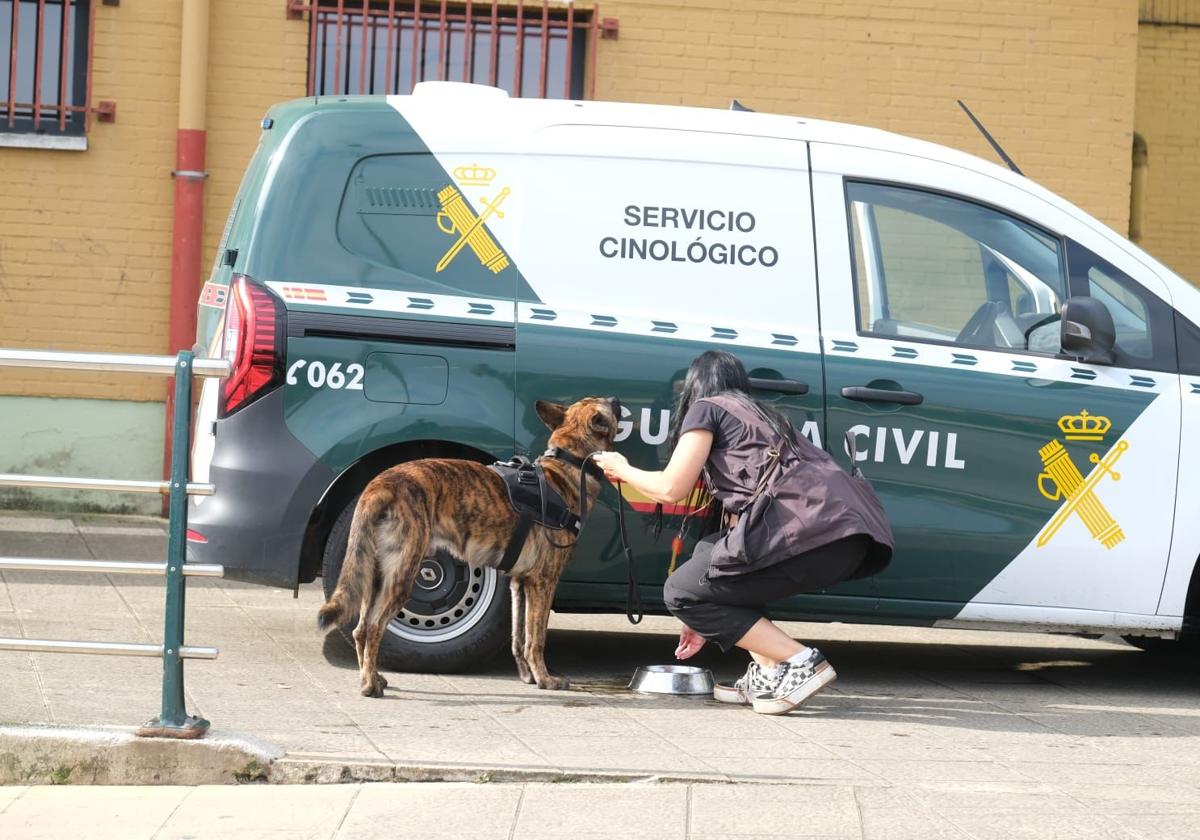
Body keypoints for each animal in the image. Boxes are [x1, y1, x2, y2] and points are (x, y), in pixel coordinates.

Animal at [316, 396, 619, 700]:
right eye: (605, 404)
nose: (617, 399)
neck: (567, 466)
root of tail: (381, 484)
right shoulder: (543, 583)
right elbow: (537, 638)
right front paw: (545, 679)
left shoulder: (519, 584)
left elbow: (519, 638)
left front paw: (527, 676)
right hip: (402, 578)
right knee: (375, 627)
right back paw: (369, 684)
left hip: (375, 578)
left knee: (361, 630)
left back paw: (373, 676)